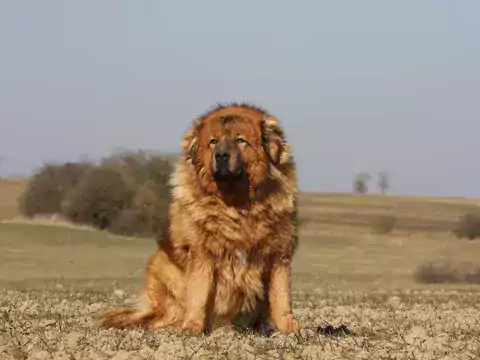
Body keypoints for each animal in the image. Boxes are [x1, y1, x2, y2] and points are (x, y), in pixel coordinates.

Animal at [98, 101, 300, 334]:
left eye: (240, 140)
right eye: (213, 142)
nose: (221, 155)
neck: (238, 203)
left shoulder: (279, 253)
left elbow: (282, 295)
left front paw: (289, 327)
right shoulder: (202, 253)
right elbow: (199, 293)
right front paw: (192, 327)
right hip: (164, 269)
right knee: (157, 318)